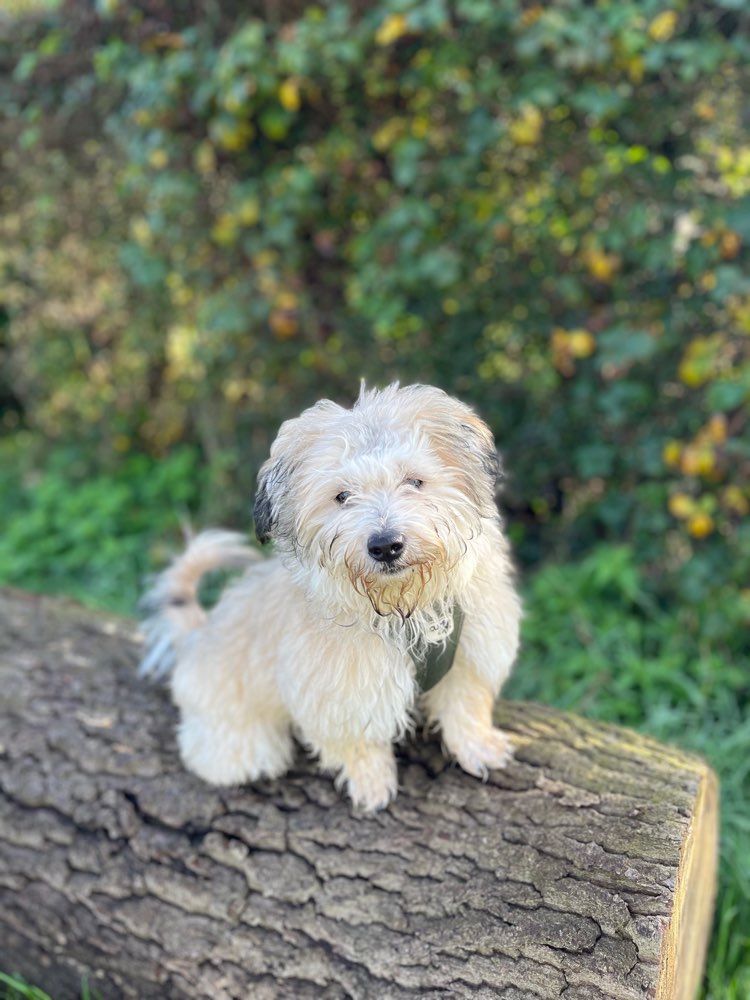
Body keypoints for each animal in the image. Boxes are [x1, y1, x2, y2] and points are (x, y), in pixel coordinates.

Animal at [144, 382, 524, 812]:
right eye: (342, 496)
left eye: (414, 481)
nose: (385, 546)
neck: (405, 609)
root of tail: (195, 635)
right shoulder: (339, 690)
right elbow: (357, 741)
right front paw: (373, 783)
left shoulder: (473, 651)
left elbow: (466, 704)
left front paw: (478, 746)